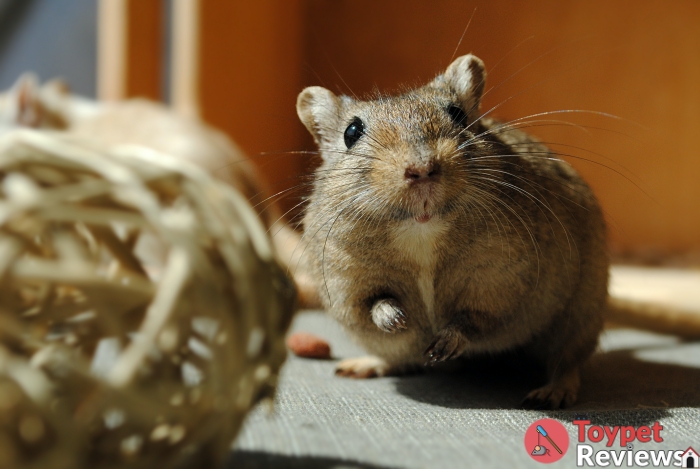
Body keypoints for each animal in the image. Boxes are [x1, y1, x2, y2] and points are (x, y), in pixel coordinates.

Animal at [296, 54, 611, 409]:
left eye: (457, 114)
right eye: (352, 132)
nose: (421, 169)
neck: (421, 230)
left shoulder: (499, 283)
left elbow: (472, 319)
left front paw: (443, 343)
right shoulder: (348, 283)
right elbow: (373, 304)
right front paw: (397, 319)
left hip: (579, 318)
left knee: (567, 362)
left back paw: (552, 393)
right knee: (400, 360)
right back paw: (363, 364)